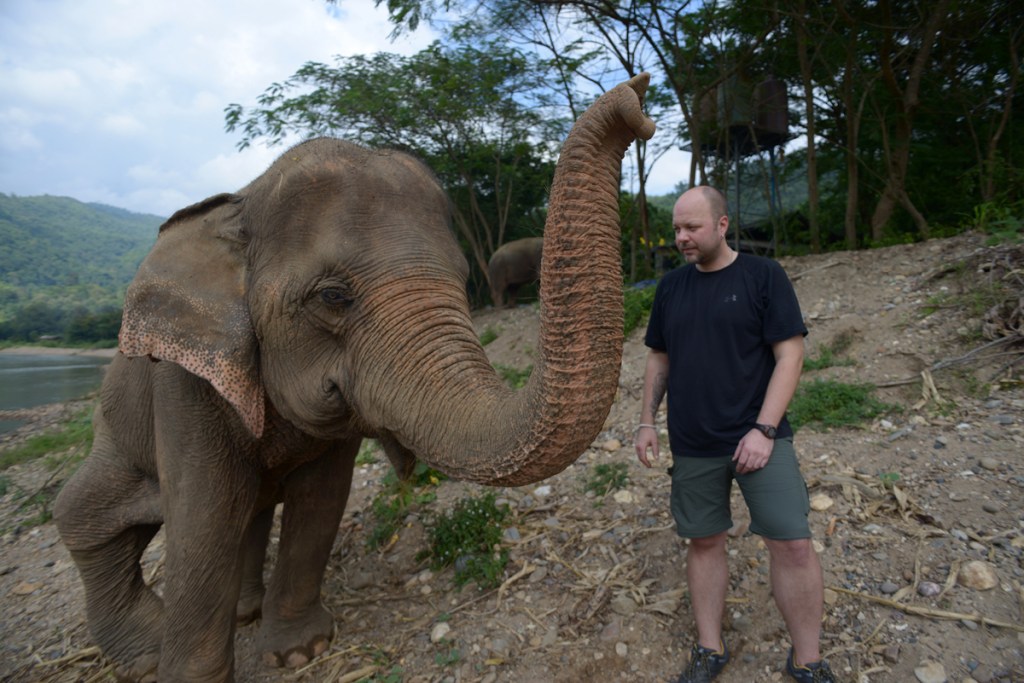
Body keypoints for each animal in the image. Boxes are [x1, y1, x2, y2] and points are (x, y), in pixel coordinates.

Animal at [53, 73, 655, 682]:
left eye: (461, 276)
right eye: (333, 297)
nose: (639, 93)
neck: (243, 200)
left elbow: (320, 500)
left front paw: (301, 652)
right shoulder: (185, 384)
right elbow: (203, 516)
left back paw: (244, 613)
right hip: (113, 432)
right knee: (81, 514)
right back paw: (149, 648)